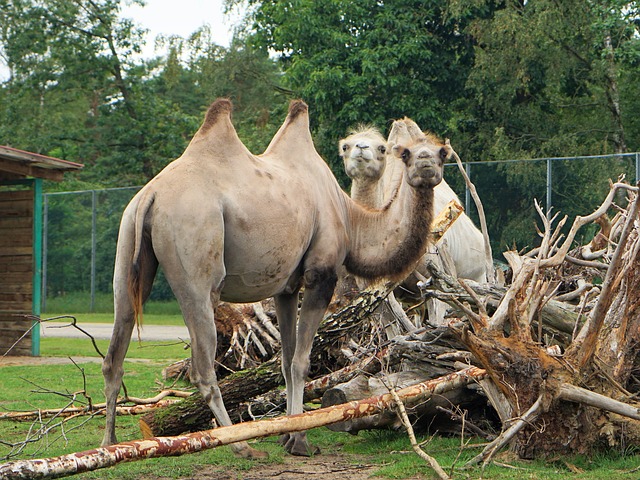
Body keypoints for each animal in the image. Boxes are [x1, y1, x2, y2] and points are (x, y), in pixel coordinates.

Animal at [101, 98, 444, 458]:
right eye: (403, 152)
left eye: (440, 152)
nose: (425, 165)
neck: (350, 219)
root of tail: (151, 195)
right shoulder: (320, 274)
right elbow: (301, 362)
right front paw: (300, 440)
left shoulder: (286, 288)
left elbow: (286, 360)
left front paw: (287, 434)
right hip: (196, 251)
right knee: (202, 365)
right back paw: (241, 445)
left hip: (126, 245)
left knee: (115, 351)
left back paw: (110, 447)